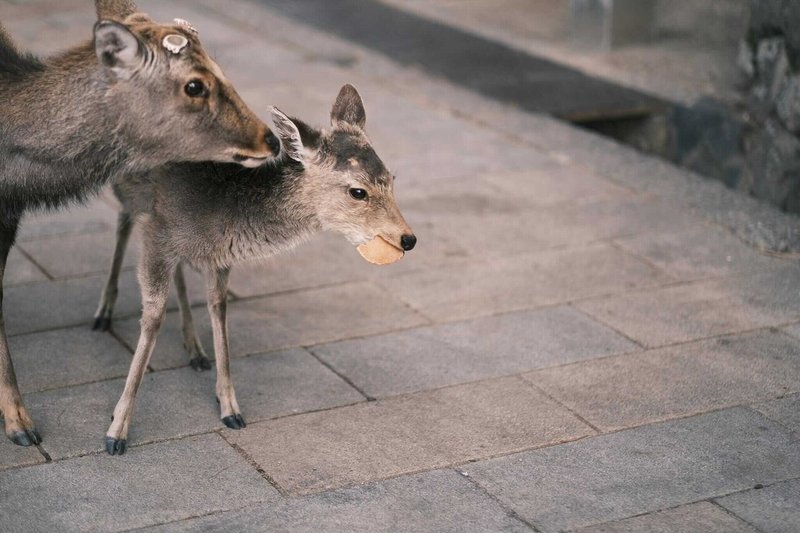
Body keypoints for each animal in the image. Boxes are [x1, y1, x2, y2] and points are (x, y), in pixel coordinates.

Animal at [97, 86, 416, 454]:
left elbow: (218, 309)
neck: (213, 210)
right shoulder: (156, 235)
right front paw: (116, 431)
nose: (408, 239)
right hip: (128, 196)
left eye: (392, 179)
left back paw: (195, 349)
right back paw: (103, 314)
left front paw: (230, 409)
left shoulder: (216, 258)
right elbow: (152, 318)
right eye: (357, 191)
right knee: (122, 222)